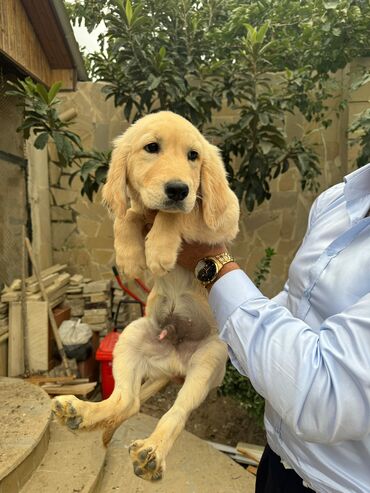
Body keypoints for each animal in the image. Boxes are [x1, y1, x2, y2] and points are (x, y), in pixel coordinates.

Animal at [53, 111, 241, 480]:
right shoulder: (136, 209)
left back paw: (151, 452)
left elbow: (179, 214)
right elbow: (129, 213)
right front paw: (129, 256)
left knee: (176, 412)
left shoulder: (224, 218)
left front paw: (159, 249)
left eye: (194, 156)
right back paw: (79, 412)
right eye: (151, 148)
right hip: (132, 338)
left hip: (209, 361)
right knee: (128, 401)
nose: (179, 188)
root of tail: (174, 364)